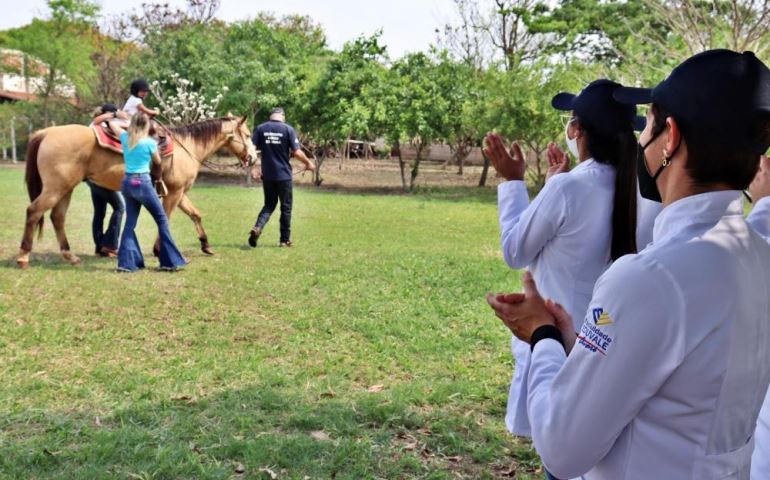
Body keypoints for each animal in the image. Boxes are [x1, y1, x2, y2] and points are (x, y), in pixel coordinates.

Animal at [16, 115, 256, 268]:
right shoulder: (174, 193)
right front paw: (161, 251)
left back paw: (70, 256)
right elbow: (165, 218)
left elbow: (195, 214)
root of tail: (47, 132)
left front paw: (206, 245)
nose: (254, 158)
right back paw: (24, 257)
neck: (186, 147)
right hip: (56, 188)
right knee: (33, 211)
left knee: (57, 217)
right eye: (247, 134)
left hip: (65, 189)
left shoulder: (179, 194)